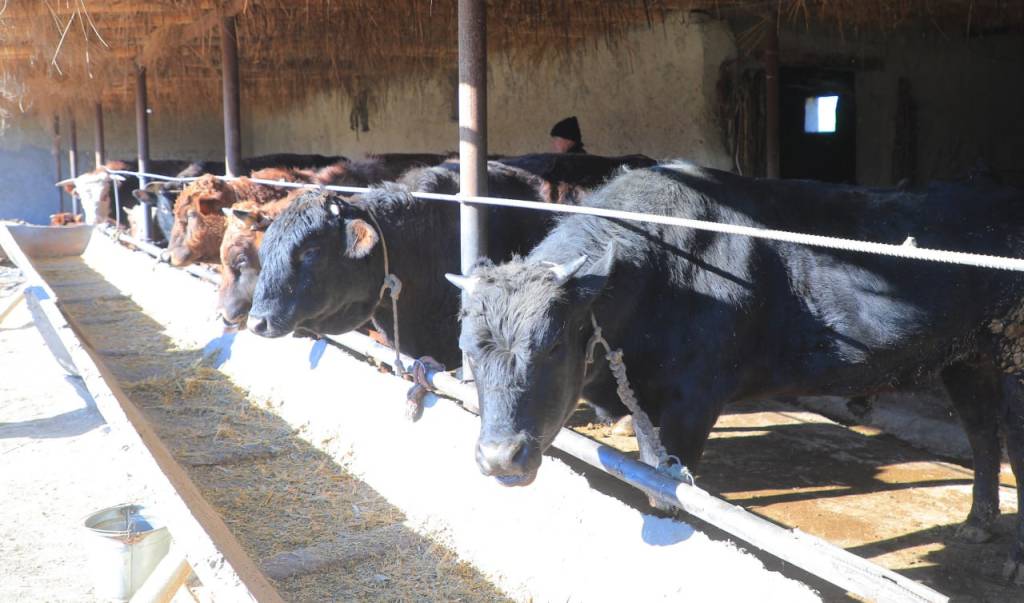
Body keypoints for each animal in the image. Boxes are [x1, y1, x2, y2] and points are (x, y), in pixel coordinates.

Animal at [447, 163, 1024, 581]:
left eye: (552, 346)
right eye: (468, 350)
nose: (499, 458)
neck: (661, 267)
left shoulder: (693, 400)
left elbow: (667, 486)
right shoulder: (646, 398)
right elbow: (648, 469)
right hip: (966, 358)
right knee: (981, 433)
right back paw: (977, 523)